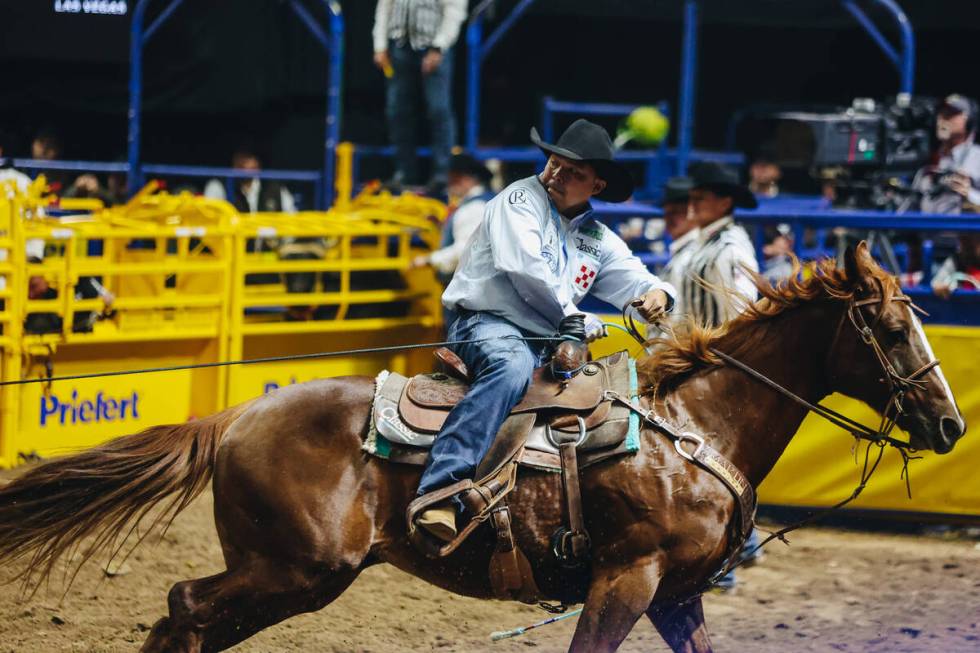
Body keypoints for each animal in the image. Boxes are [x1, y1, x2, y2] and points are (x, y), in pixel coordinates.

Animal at [0, 242, 964, 648]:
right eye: (888, 327)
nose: (953, 425)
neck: (697, 427)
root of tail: (235, 416)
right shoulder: (626, 578)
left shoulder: (677, 593)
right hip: (295, 568)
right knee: (185, 604)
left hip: (291, 578)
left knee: (191, 616)